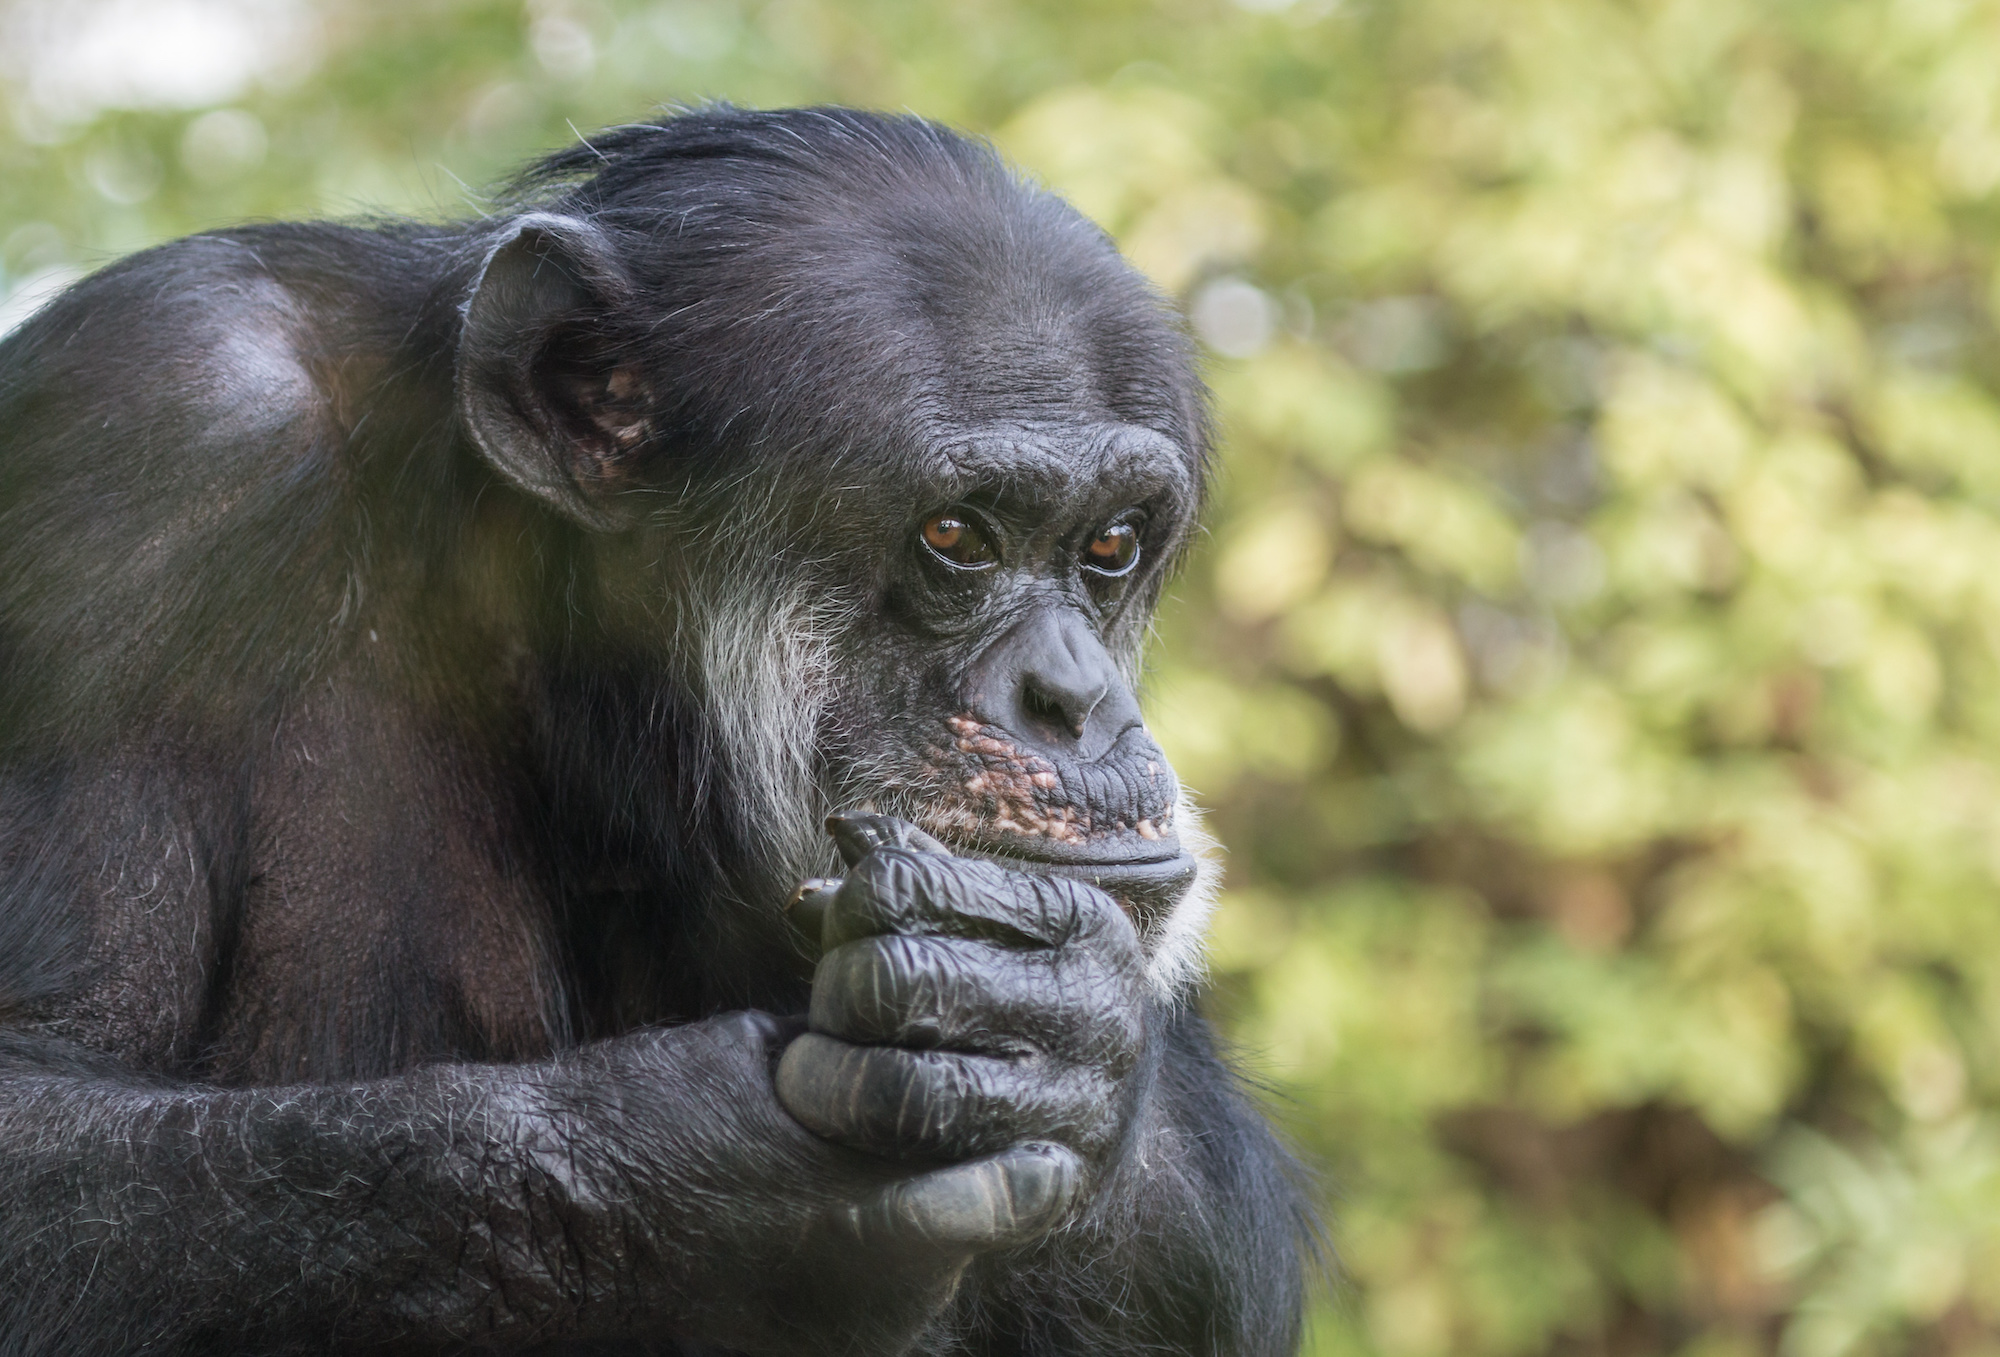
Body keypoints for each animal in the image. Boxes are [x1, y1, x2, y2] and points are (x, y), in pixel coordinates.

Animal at [0, 109, 1312, 1357]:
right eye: (957, 536)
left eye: (1110, 545)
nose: (1076, 700)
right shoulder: (137, 442)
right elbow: (35, 1096)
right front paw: (733, 1189)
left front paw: (1055, 1038)